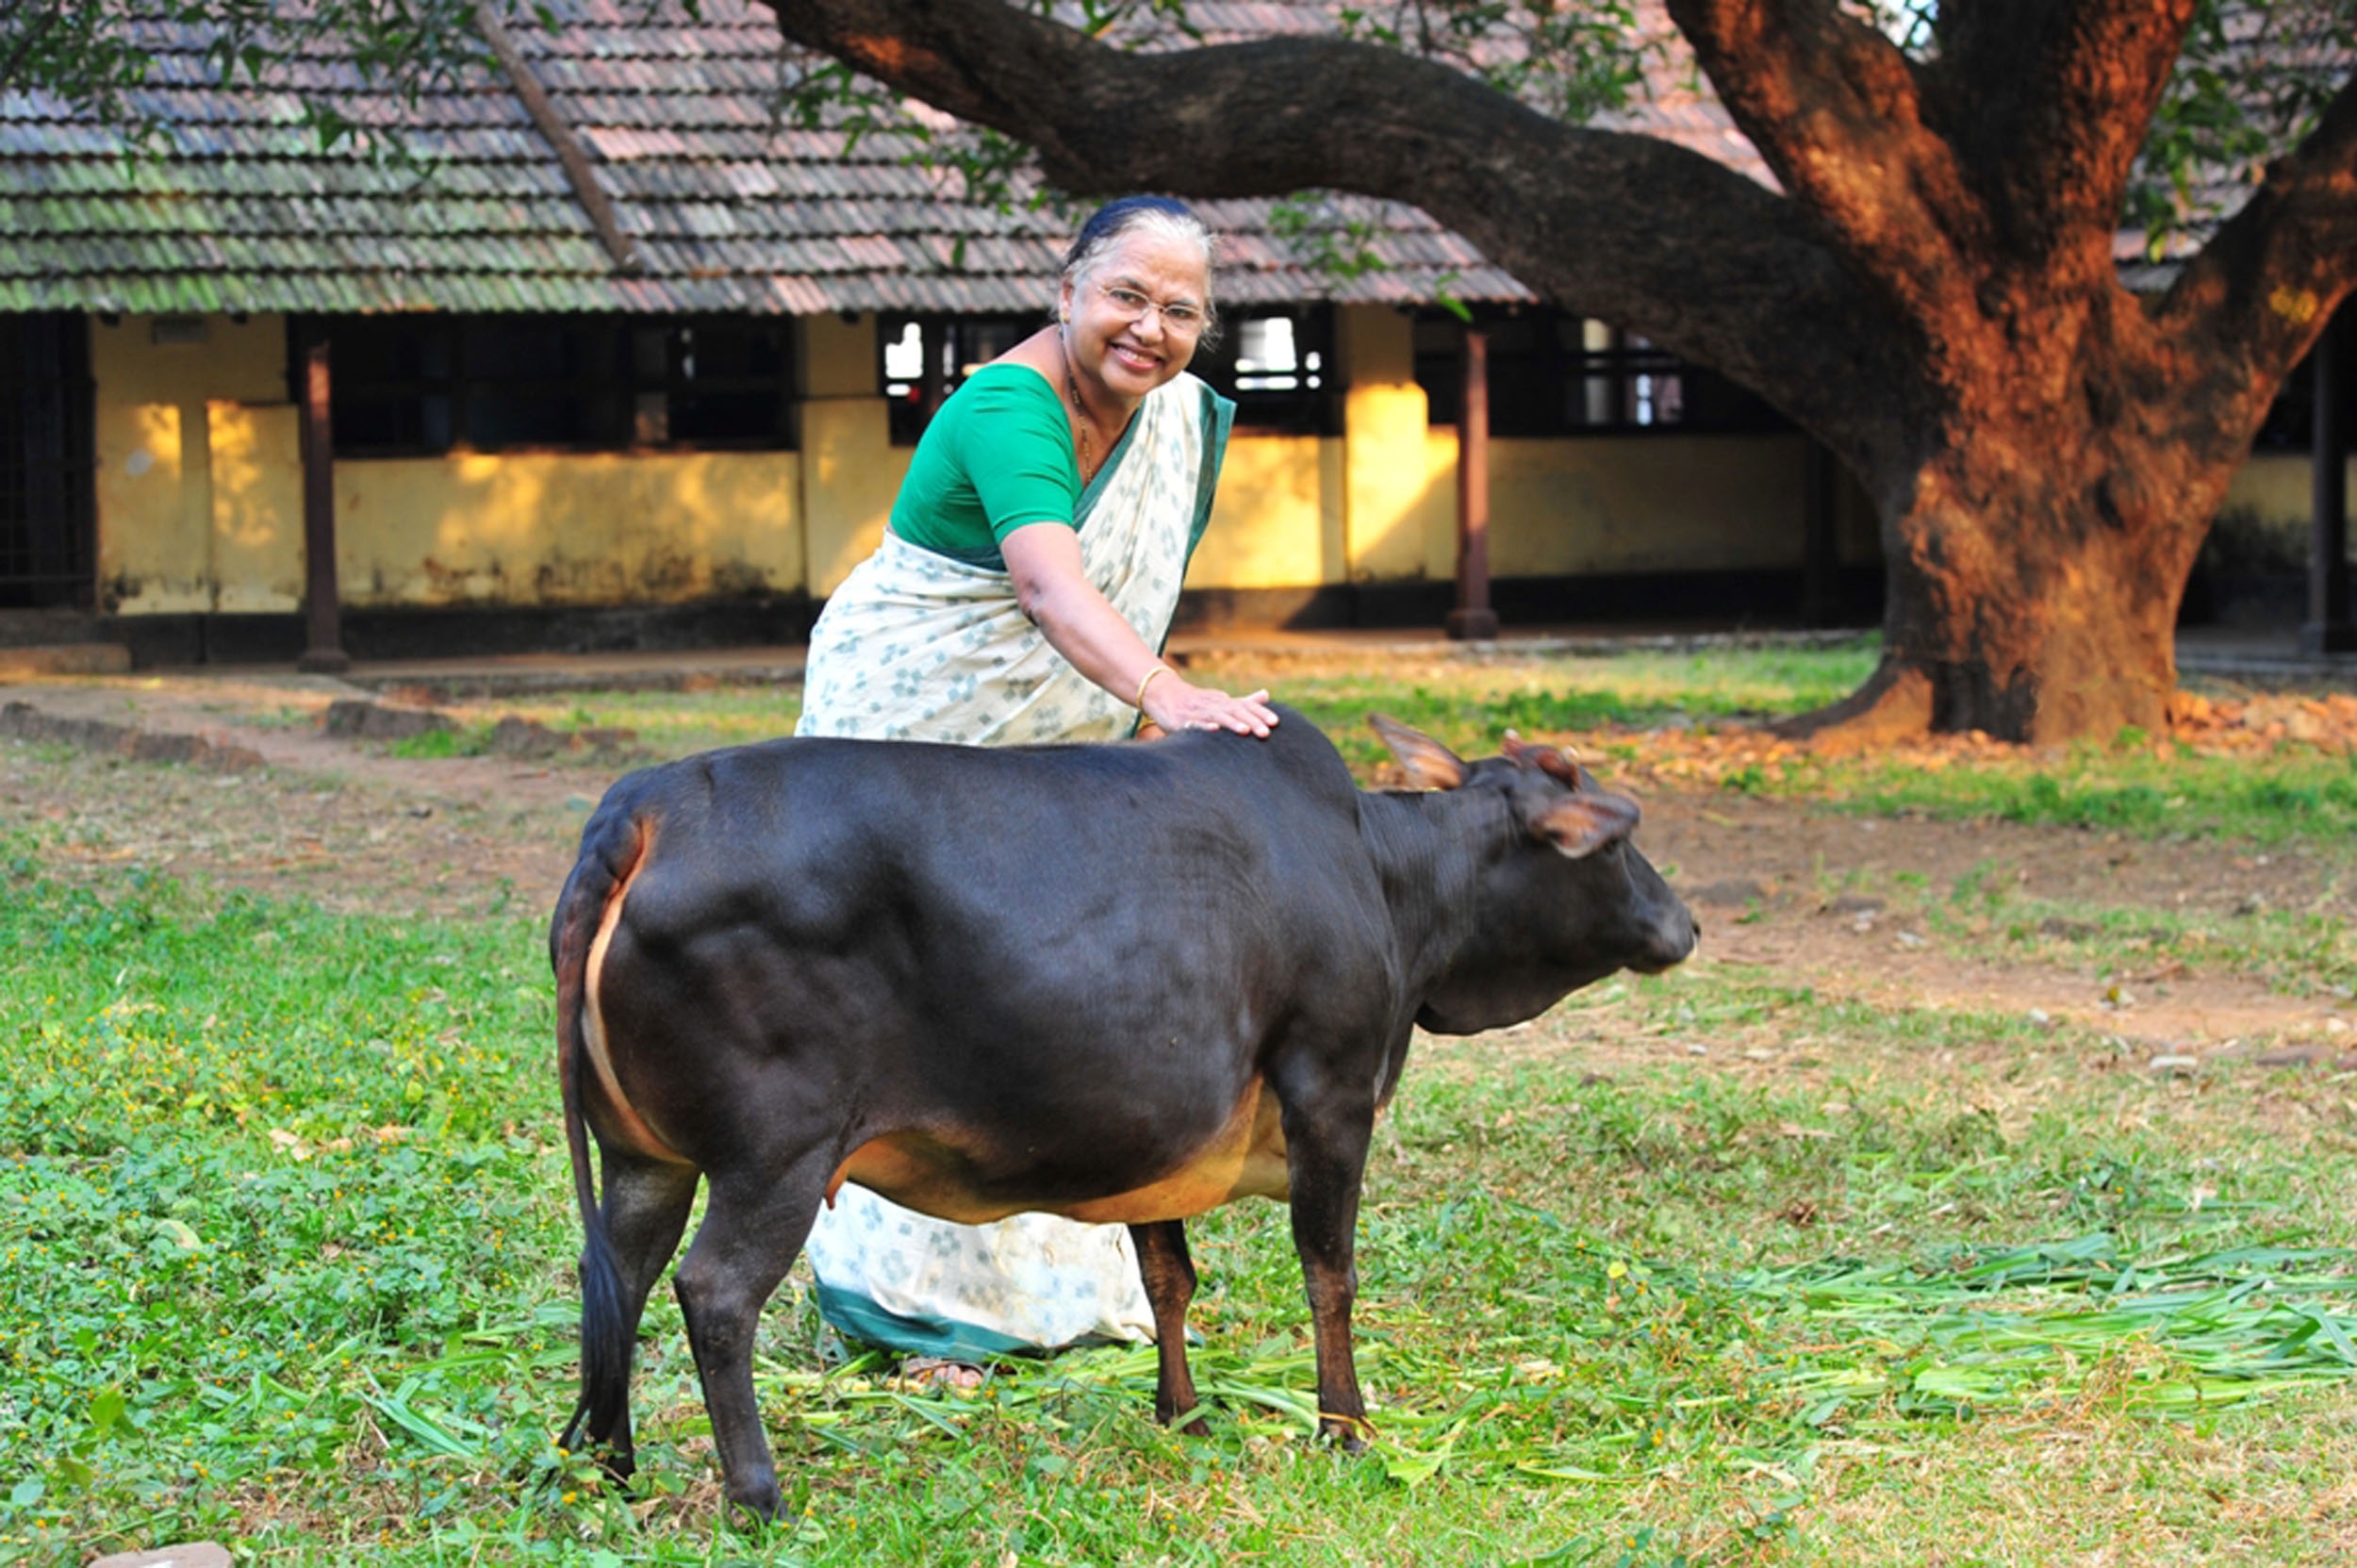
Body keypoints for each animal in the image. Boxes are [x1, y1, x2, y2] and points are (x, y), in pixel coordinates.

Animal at [552, 707, 1697, 1518]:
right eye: (1606, 847)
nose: (1684, 923)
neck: (1387, 879)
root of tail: (642, 806)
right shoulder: (1330, 1092)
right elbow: (1329, 1272)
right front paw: (1345, 1427)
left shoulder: (1154, 1132)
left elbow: (1166, 1276)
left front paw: (1180, 1413)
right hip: (774, 1156)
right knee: (713, 1292)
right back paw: (757, 1495)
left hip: (645, 1157)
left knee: (618, 1272)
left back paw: (604, 1460)